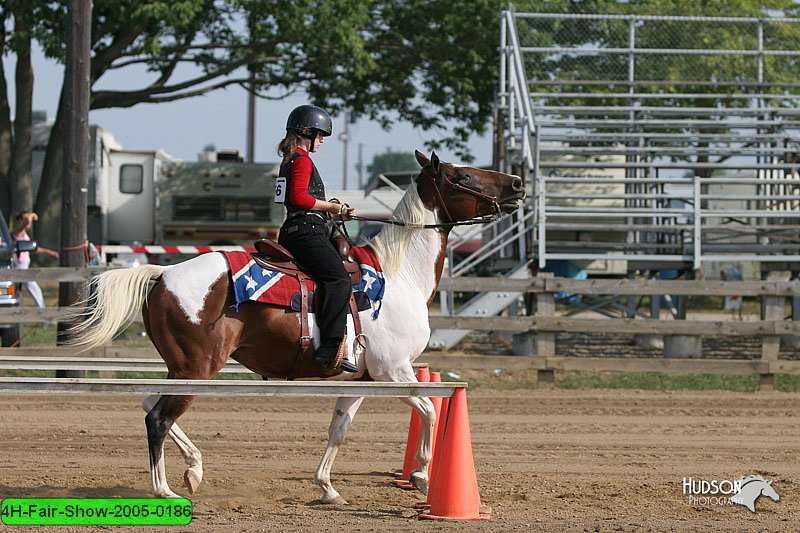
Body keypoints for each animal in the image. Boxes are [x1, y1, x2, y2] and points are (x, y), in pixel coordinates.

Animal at [67, 150, 524, 502]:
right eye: (463, 175)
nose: (518, 183)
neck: (397, 277)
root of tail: (163, 274)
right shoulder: (394, 371)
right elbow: (430, 409)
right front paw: (421, 476)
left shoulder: (360, 379)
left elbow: (339, 429)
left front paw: (327, 487)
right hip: (197, 369)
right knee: (158, 419)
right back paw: (164, 490)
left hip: (179, 370)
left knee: (150, 405)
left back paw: (193, 470)